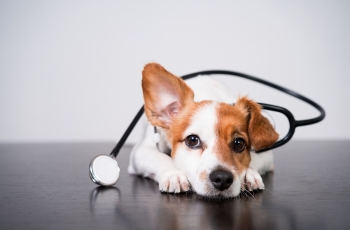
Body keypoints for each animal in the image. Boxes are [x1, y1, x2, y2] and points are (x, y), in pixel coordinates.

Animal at [127, 63, 278, 198]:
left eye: (239, 143)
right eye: (192, 140)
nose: (222, 178)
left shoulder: (266, 154)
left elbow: (254, 159)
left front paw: (248, 174)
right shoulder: (142, 150)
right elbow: (160, 157)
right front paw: (174, 174)